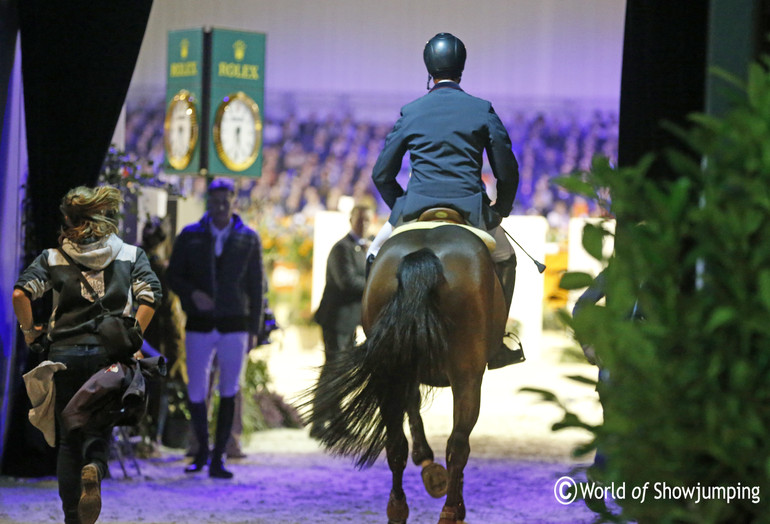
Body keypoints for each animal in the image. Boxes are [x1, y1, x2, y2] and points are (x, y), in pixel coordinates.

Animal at [306, 215, 504, 520]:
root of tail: (423, 254)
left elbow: (412, 406)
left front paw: (426, 463)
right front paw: (430, 468)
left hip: (393, 364)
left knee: (396, 443)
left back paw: (398, 508)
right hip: (466, 373)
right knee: (458, 444)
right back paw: (451, 510)